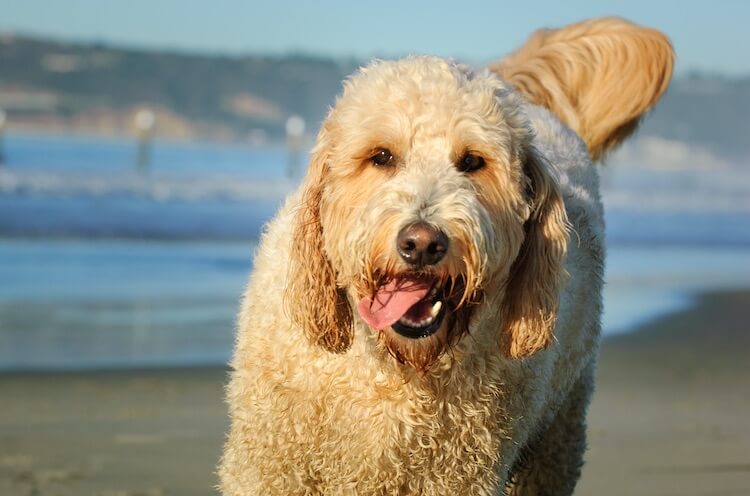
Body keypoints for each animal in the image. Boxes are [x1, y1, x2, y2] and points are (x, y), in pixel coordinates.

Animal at [217, 17, 676, 494]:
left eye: (472, 161)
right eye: (381, 156)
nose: (422, 242)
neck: (394, 369)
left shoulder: (461, 475)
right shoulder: (269, 468)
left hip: (556, 435)